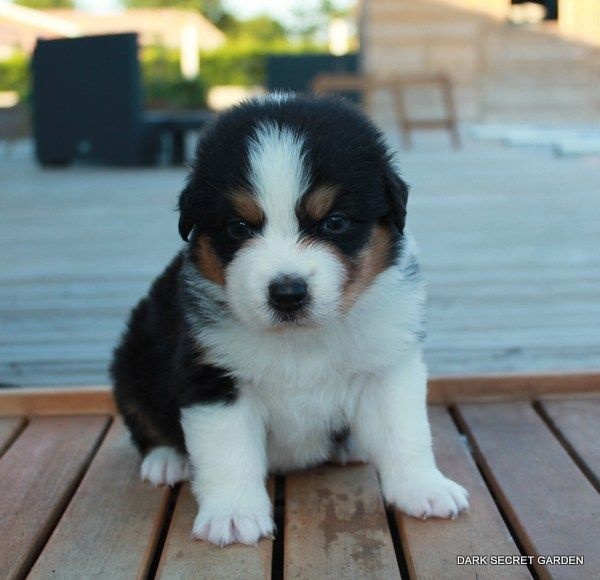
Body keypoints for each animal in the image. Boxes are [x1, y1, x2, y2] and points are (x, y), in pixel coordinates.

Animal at [111, 93, 469, 546]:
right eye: (238, 226)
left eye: (335, 221)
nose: (287, 294)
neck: (302, 339)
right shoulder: (211, 375)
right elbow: (228, 451)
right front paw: (233, 514)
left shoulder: (388, 365)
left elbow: (405, 432)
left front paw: (424, 488)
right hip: (133, 356)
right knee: (143, 417)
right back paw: (167, 459)